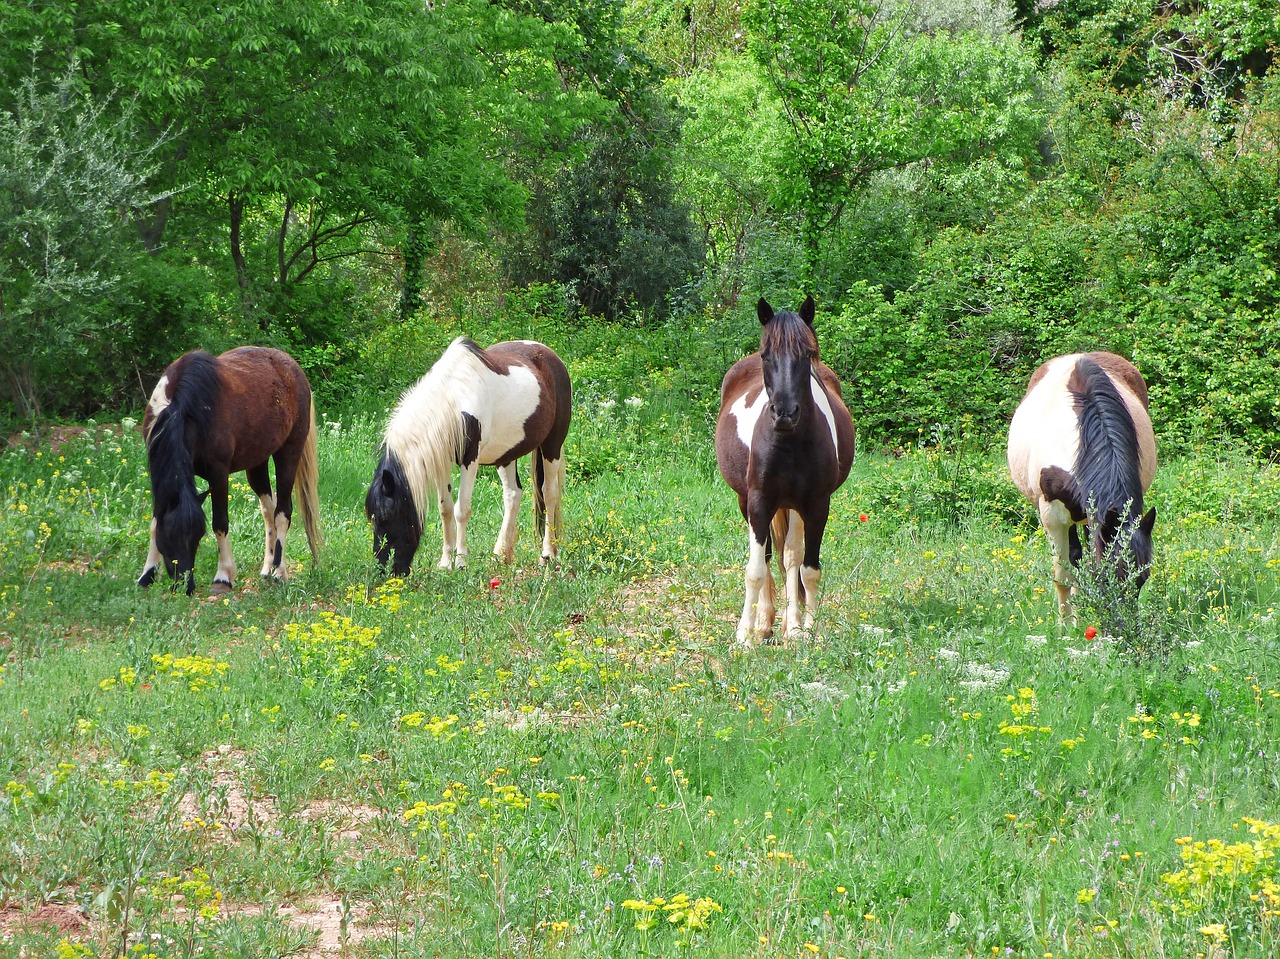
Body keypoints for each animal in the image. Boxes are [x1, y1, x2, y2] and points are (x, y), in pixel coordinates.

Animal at [136, 348, 320, 594]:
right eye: (171, 536)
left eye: (197, 536)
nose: (185, 585)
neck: (180, 410)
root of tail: (292, 367)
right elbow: (156, 521)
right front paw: (147, 575)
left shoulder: (219, 474)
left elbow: (220, 523)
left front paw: (223, 576)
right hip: (257, 463)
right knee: (269, 511)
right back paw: (267, 568)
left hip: (288, 454)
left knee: (282, 513)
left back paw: (278, 572)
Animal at [368, 338, 573, 576]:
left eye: (385, 517)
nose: (385, 570)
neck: (453, 402)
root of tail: (551, 355)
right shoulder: (441, 461)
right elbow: (445, 509)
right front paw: (445, 562)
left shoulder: (470, 460)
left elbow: (461, 510)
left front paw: (461, 562)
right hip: (506, 454)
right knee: (513, 494)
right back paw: (500, 555)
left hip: (552, 446)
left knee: (549, 493)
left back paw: (547, 554)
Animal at [716, 295, 855, 647]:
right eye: (767, 355)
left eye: (807, 354)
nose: (784, 413)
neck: (790, 443)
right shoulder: (759, 502)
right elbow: (754, 570)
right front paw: (744, 635)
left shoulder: (817, 505)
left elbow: (808, 569)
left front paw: (807, 630)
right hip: (748, 502)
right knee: (766, 558)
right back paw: (763, 624)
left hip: (793, 506)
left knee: (791, 556)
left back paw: (789, 625)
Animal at [1008, 350, 1162, 622]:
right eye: (1111, 578)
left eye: (1142, 579)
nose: (1125, 628)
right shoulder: (1052, 515)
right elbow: (1063, 575)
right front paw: (1067, 626)